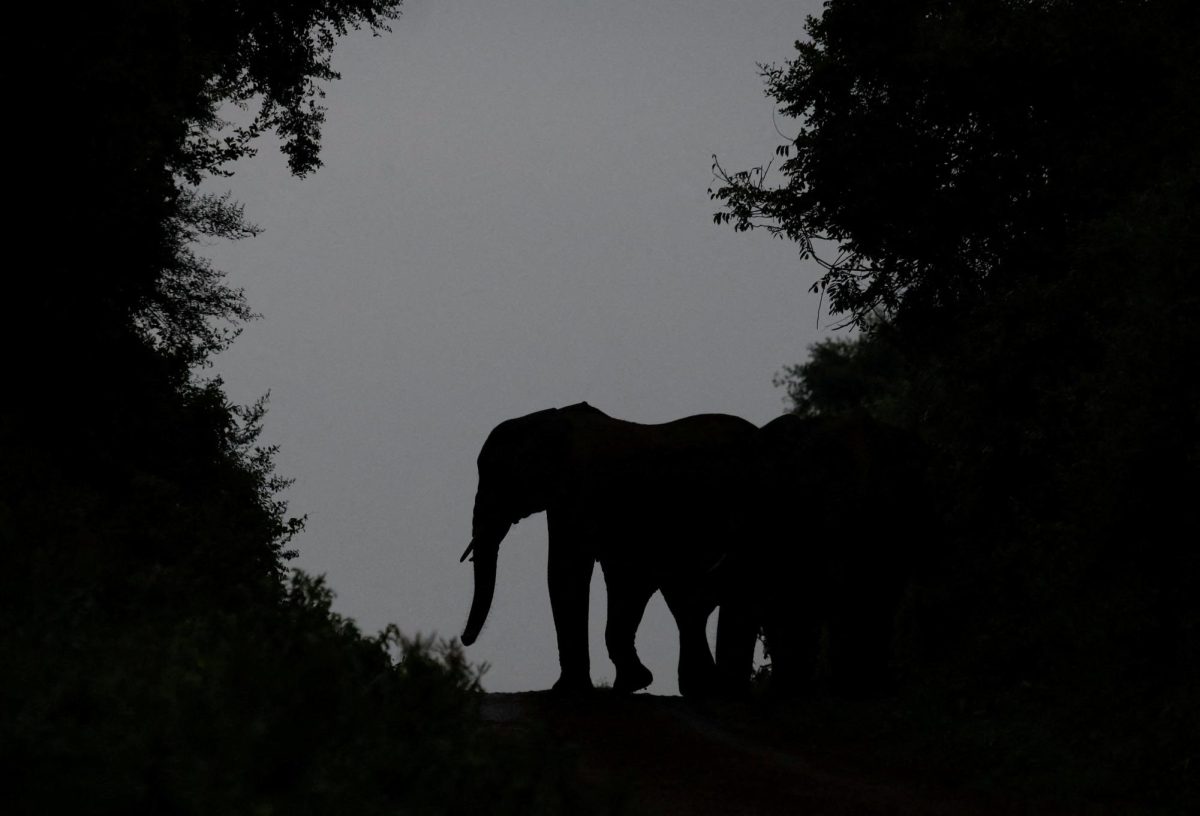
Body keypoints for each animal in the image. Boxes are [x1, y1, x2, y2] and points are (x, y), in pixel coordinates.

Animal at [459, 402, 757, 696]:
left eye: (498, 477)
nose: (463, 639)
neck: (549, 420)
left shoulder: (581, 493)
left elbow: (568, 573)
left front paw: (572, 690)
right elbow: (612, 576)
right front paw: (630, 683)